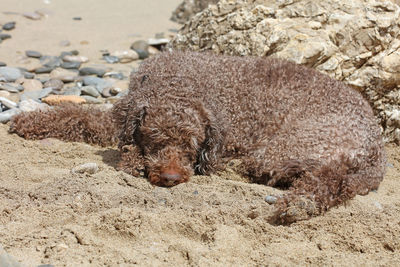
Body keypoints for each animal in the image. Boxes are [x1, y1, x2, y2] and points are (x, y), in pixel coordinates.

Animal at [9, 51, 386, 223]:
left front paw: (133, 160)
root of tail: (375, 144)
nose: (172, 177)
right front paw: (29, 120)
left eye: (192, 144)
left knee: (327, 177)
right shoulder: (117, 116)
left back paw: (298, 203)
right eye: (156, 139)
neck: (180, 81)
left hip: (288, 148)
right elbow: (80, 116)